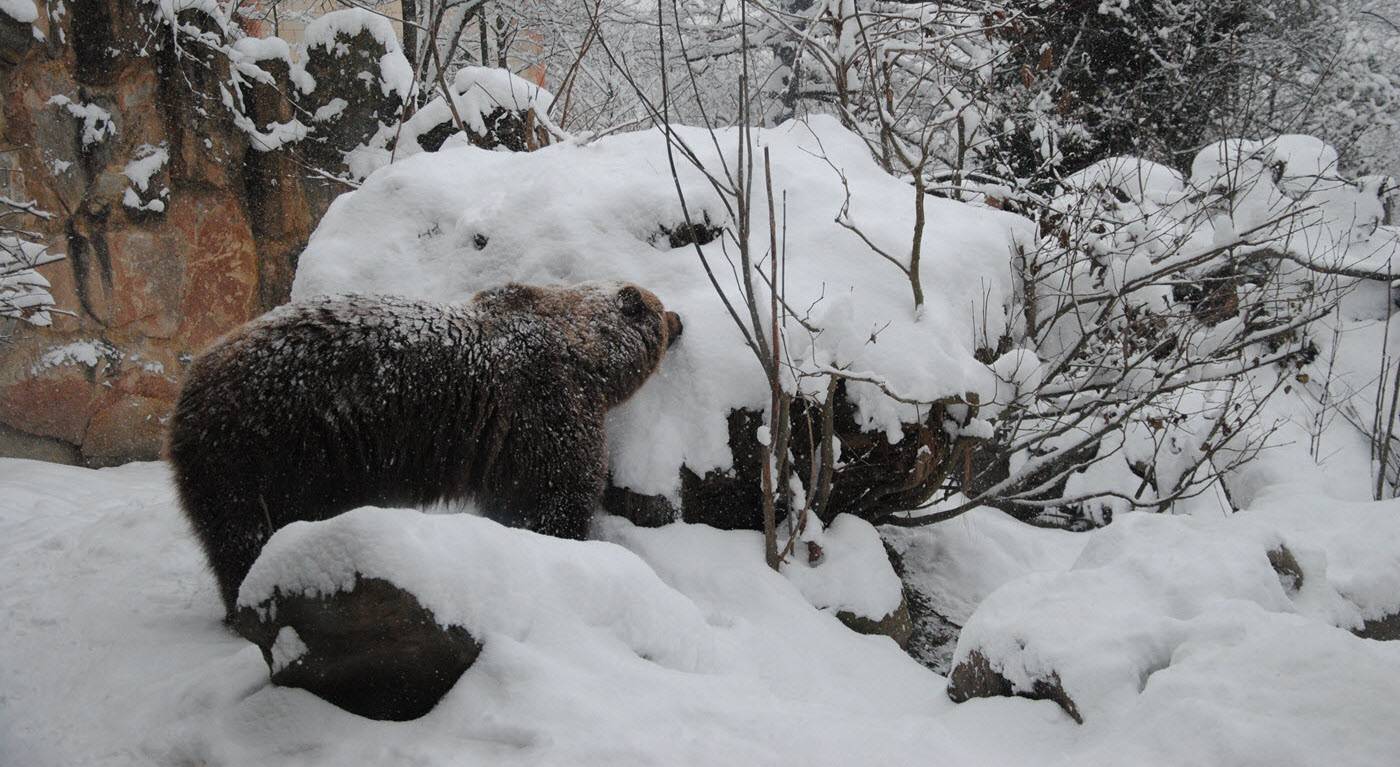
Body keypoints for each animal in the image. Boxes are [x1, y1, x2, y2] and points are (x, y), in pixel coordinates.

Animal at [169, 281, 683, 615]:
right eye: (660, 309)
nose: (680, 319)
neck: (587, 357)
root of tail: (189, 386)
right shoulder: (543, 407)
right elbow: (554, 493)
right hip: (269, 448)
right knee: (246, 532)